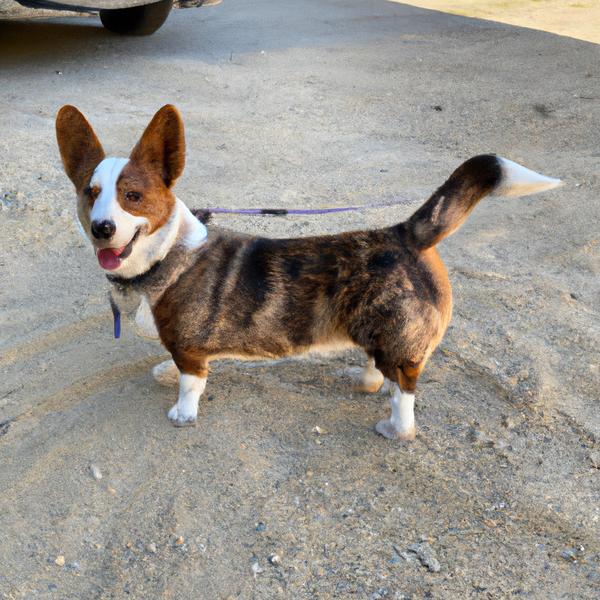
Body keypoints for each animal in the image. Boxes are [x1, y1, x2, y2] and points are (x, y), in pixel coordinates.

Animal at [55, 104, 564, 440]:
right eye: (89, 193)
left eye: (132, 197)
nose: (102, 229)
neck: (165, 255)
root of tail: (406, 233)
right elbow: (175, 368)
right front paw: (162, 371)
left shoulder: (191, 349)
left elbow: (190, 382)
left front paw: (183, 412)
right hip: (372, 329)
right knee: (377, 370)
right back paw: (363, 381)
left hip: (397, 340)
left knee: (404, 390)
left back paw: (393, 427)